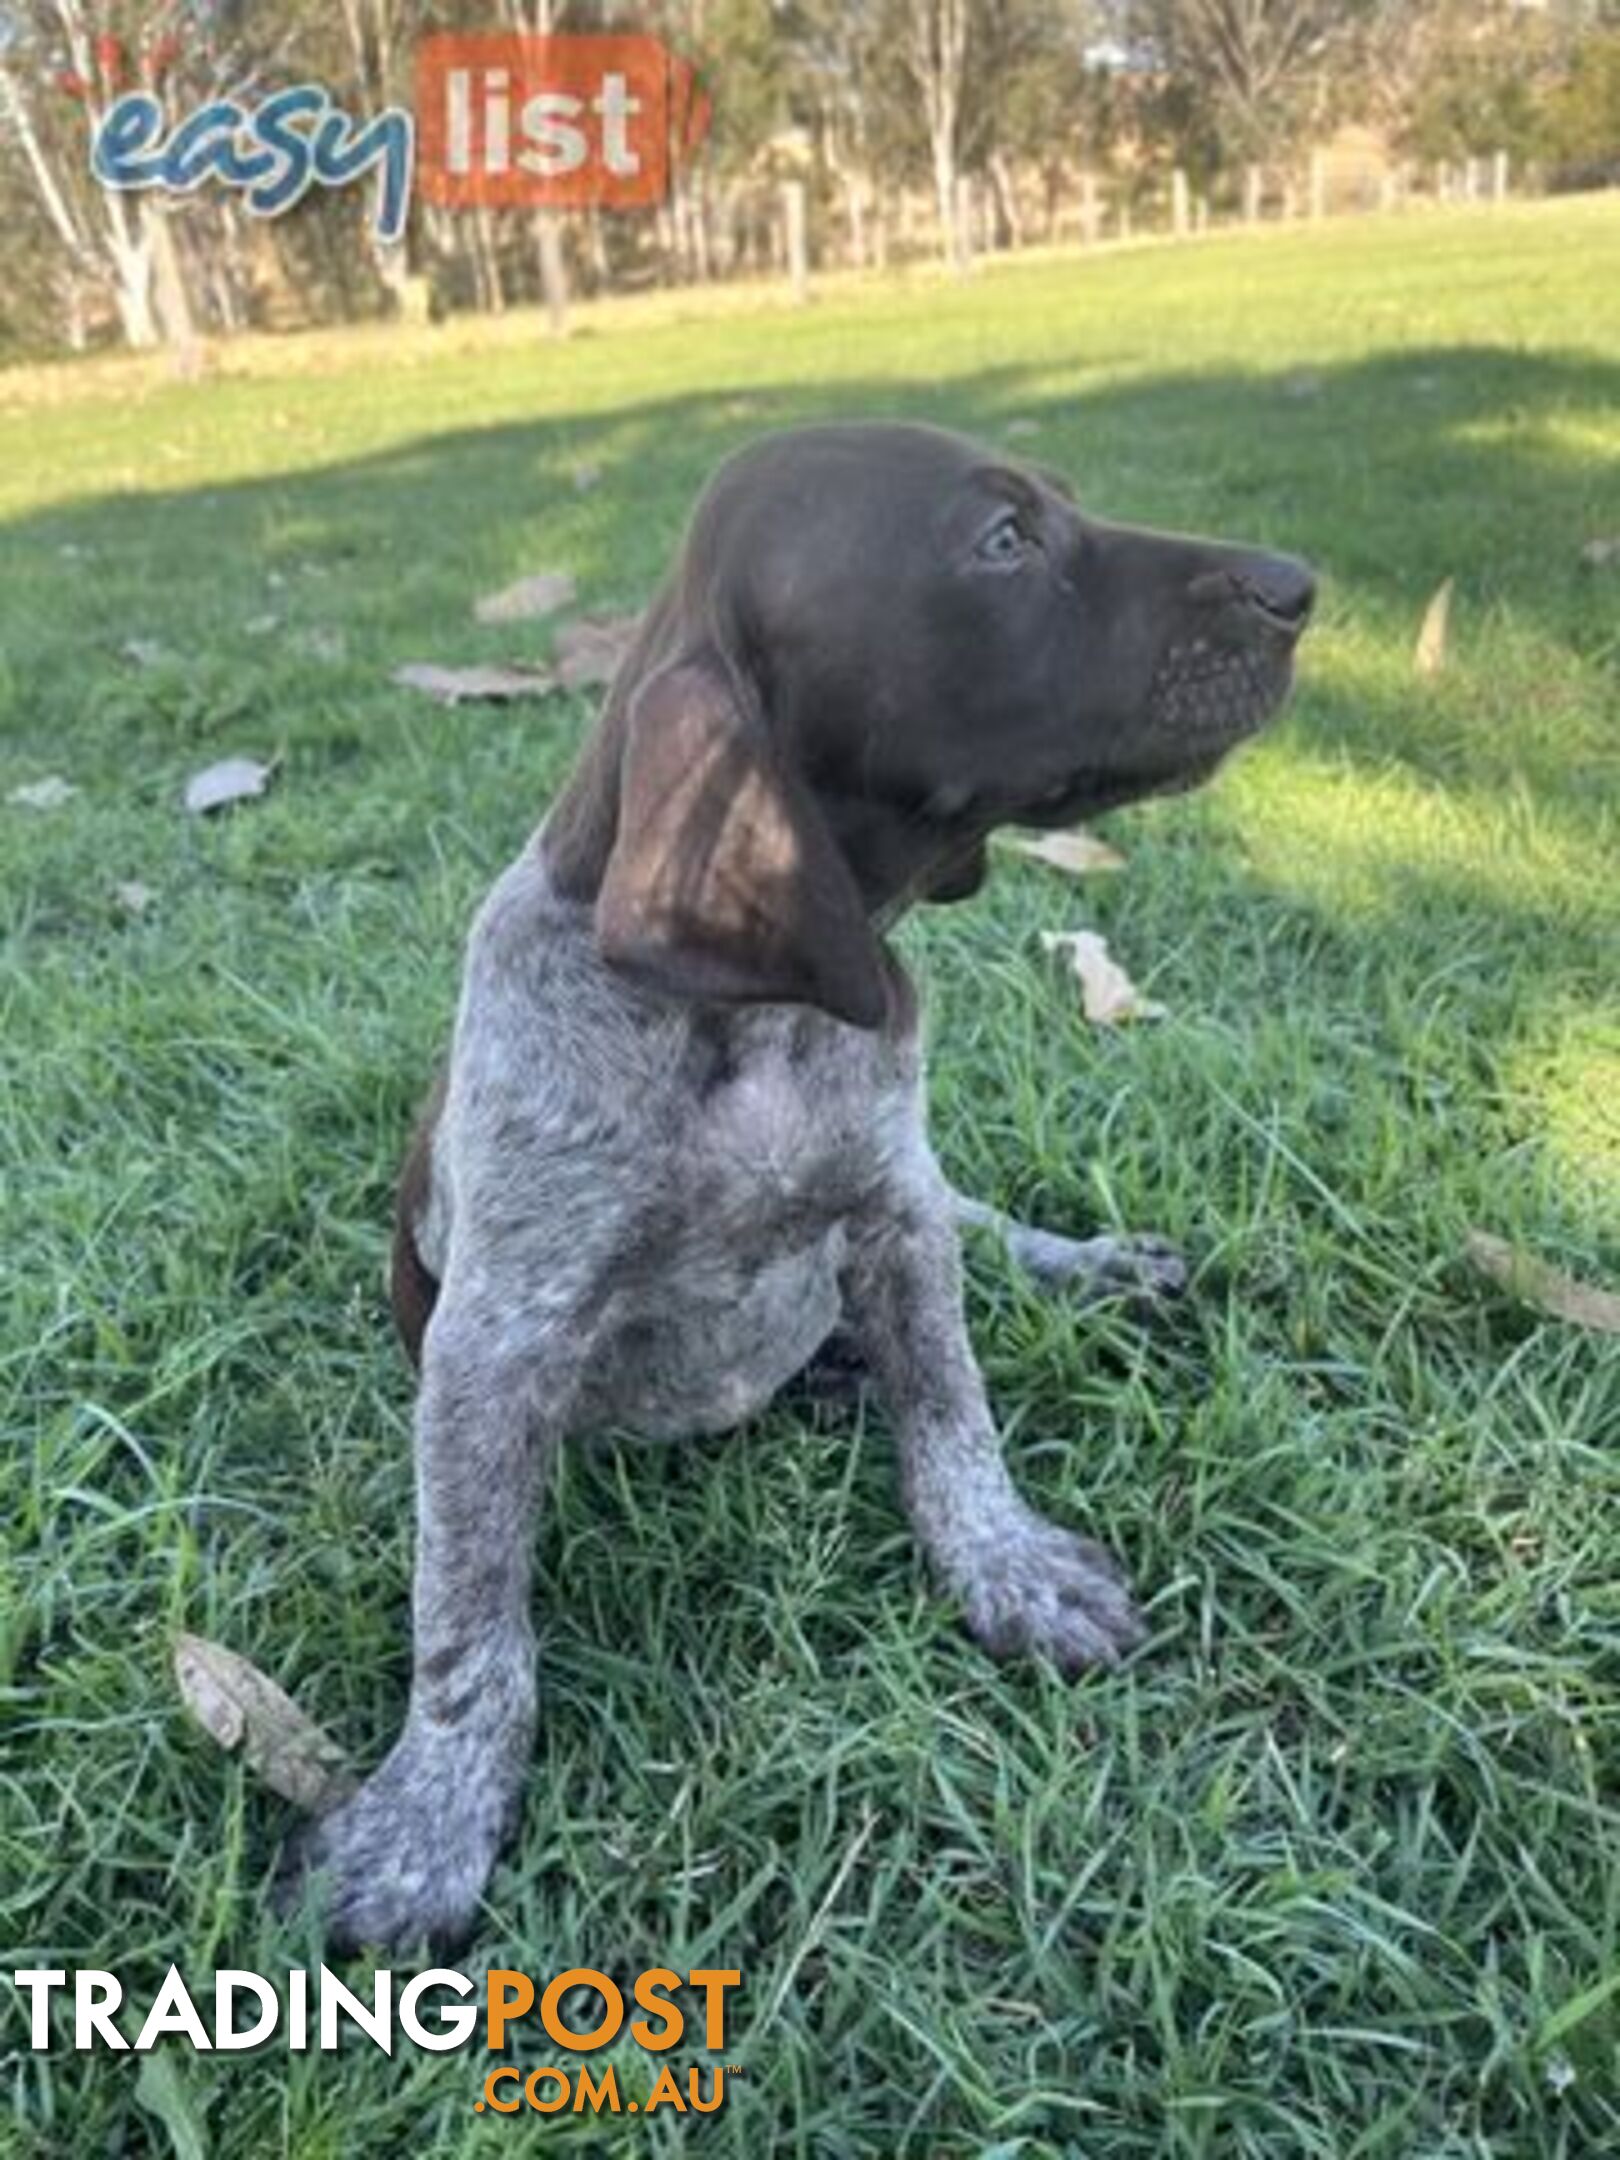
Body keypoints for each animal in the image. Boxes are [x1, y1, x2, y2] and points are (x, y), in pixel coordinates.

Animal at [285, 412, 1313, 1952]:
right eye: (1004, 540)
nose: (1299, 584)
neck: (745, 1022)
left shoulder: (895, 1212)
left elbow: (955, 1419)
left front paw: (1006, 1568)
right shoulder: (492, 1347)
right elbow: (470, 1621)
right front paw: (427, 1823)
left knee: (986, 1229)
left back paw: (1091, 1268)